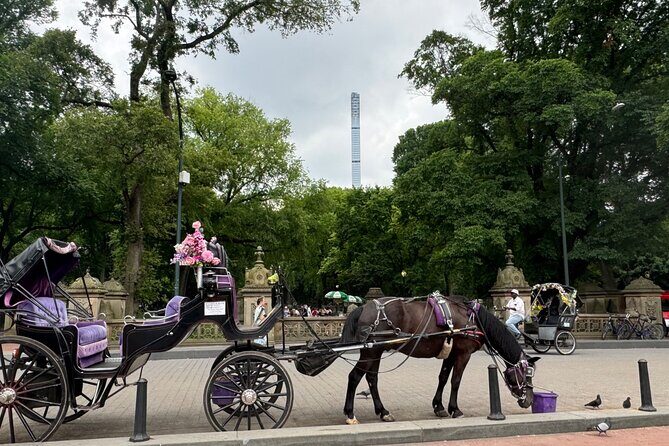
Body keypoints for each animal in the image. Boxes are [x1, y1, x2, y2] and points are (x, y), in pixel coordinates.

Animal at [339, 294, 538, 424]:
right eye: (526, 375)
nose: (529, 400)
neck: (473, 318)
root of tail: (364, 307)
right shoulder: (463, 353)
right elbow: (456, 381)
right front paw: (455, 409)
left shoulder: (451, 353)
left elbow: (443, 378)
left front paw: (439, 406)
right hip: (371, 352)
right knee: (354, 377)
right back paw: (350, 414)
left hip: (377, 350)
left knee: (372, 378)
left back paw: (383, 411)